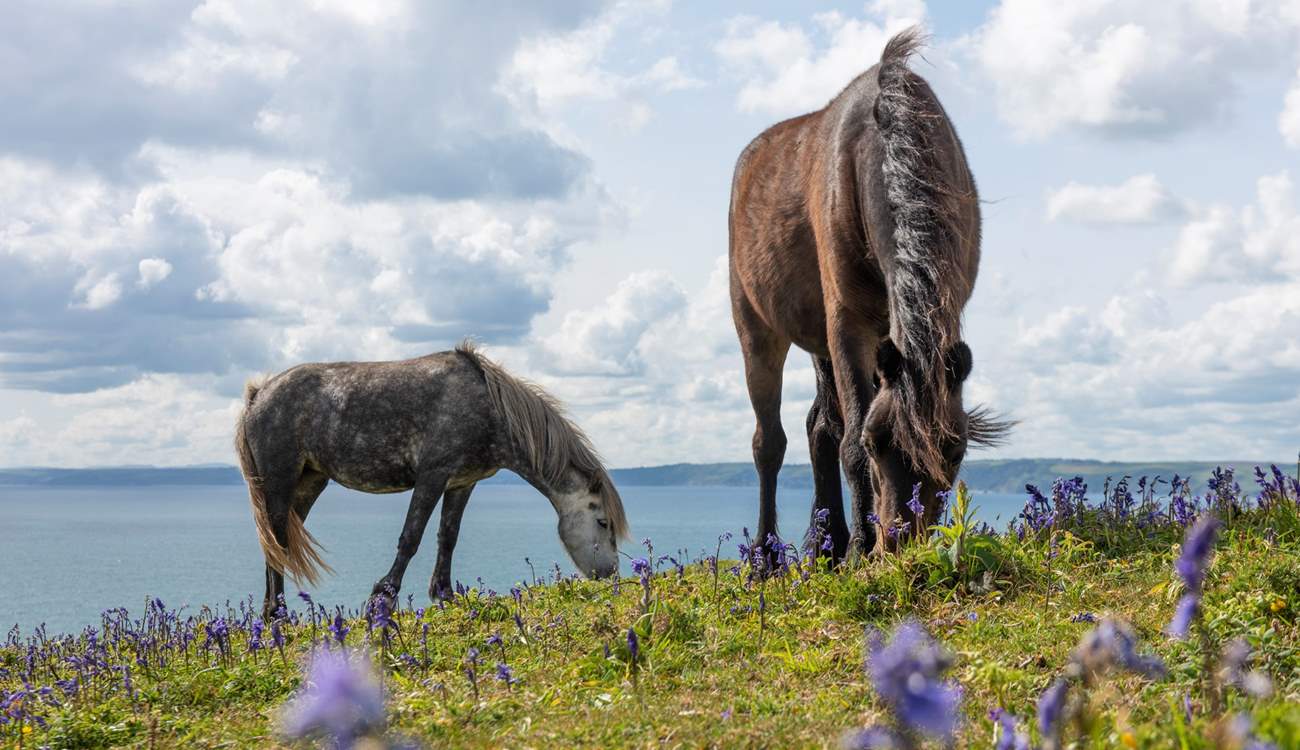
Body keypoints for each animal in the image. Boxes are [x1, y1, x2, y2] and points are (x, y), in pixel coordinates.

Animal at [235, 341, 629, 619]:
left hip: (309, 482)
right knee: (276, 540)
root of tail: (259, 394)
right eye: (603, 522)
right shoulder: (432, 476)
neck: (489, 407)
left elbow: (447, 537)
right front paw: (383, 599)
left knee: (279, 544)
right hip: (279, 480)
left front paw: (446, 595)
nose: (611, 575)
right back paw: (277, 614)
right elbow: (411, 537)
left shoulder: (461, 483)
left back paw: (273, 613)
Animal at [728, 28, 1009, 563]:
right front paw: (860, 548)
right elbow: (850, 443)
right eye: (880, 443)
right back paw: (768, 559)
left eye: (956, 448)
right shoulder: (848, 324)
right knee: (768, 444)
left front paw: (849, 546)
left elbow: (836, 432)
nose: (901, 542)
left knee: (819, 427)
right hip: (757, 331)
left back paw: (828, 545)